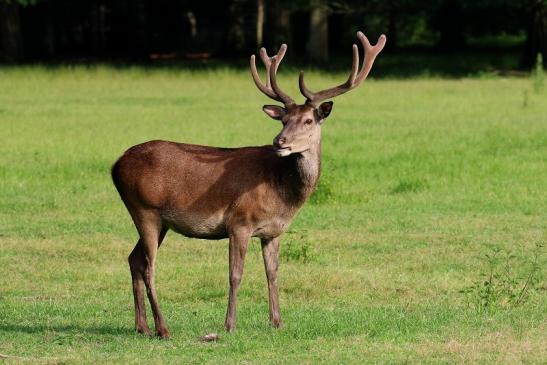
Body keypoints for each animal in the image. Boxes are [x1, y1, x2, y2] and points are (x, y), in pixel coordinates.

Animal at [110, 31, 386, 338]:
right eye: (284, 120)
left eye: (308, 120)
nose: (280, 141)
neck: (282, 193)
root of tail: (116, 165)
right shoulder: (239, 222)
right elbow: (235, 274)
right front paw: (229, 325)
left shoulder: (274, 231)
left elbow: (273, 272)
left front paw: (277, 321)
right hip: (144, 208)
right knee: (149, 267)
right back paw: (163, 328)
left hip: (160, 221)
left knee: (134, 259)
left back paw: (142, 326)